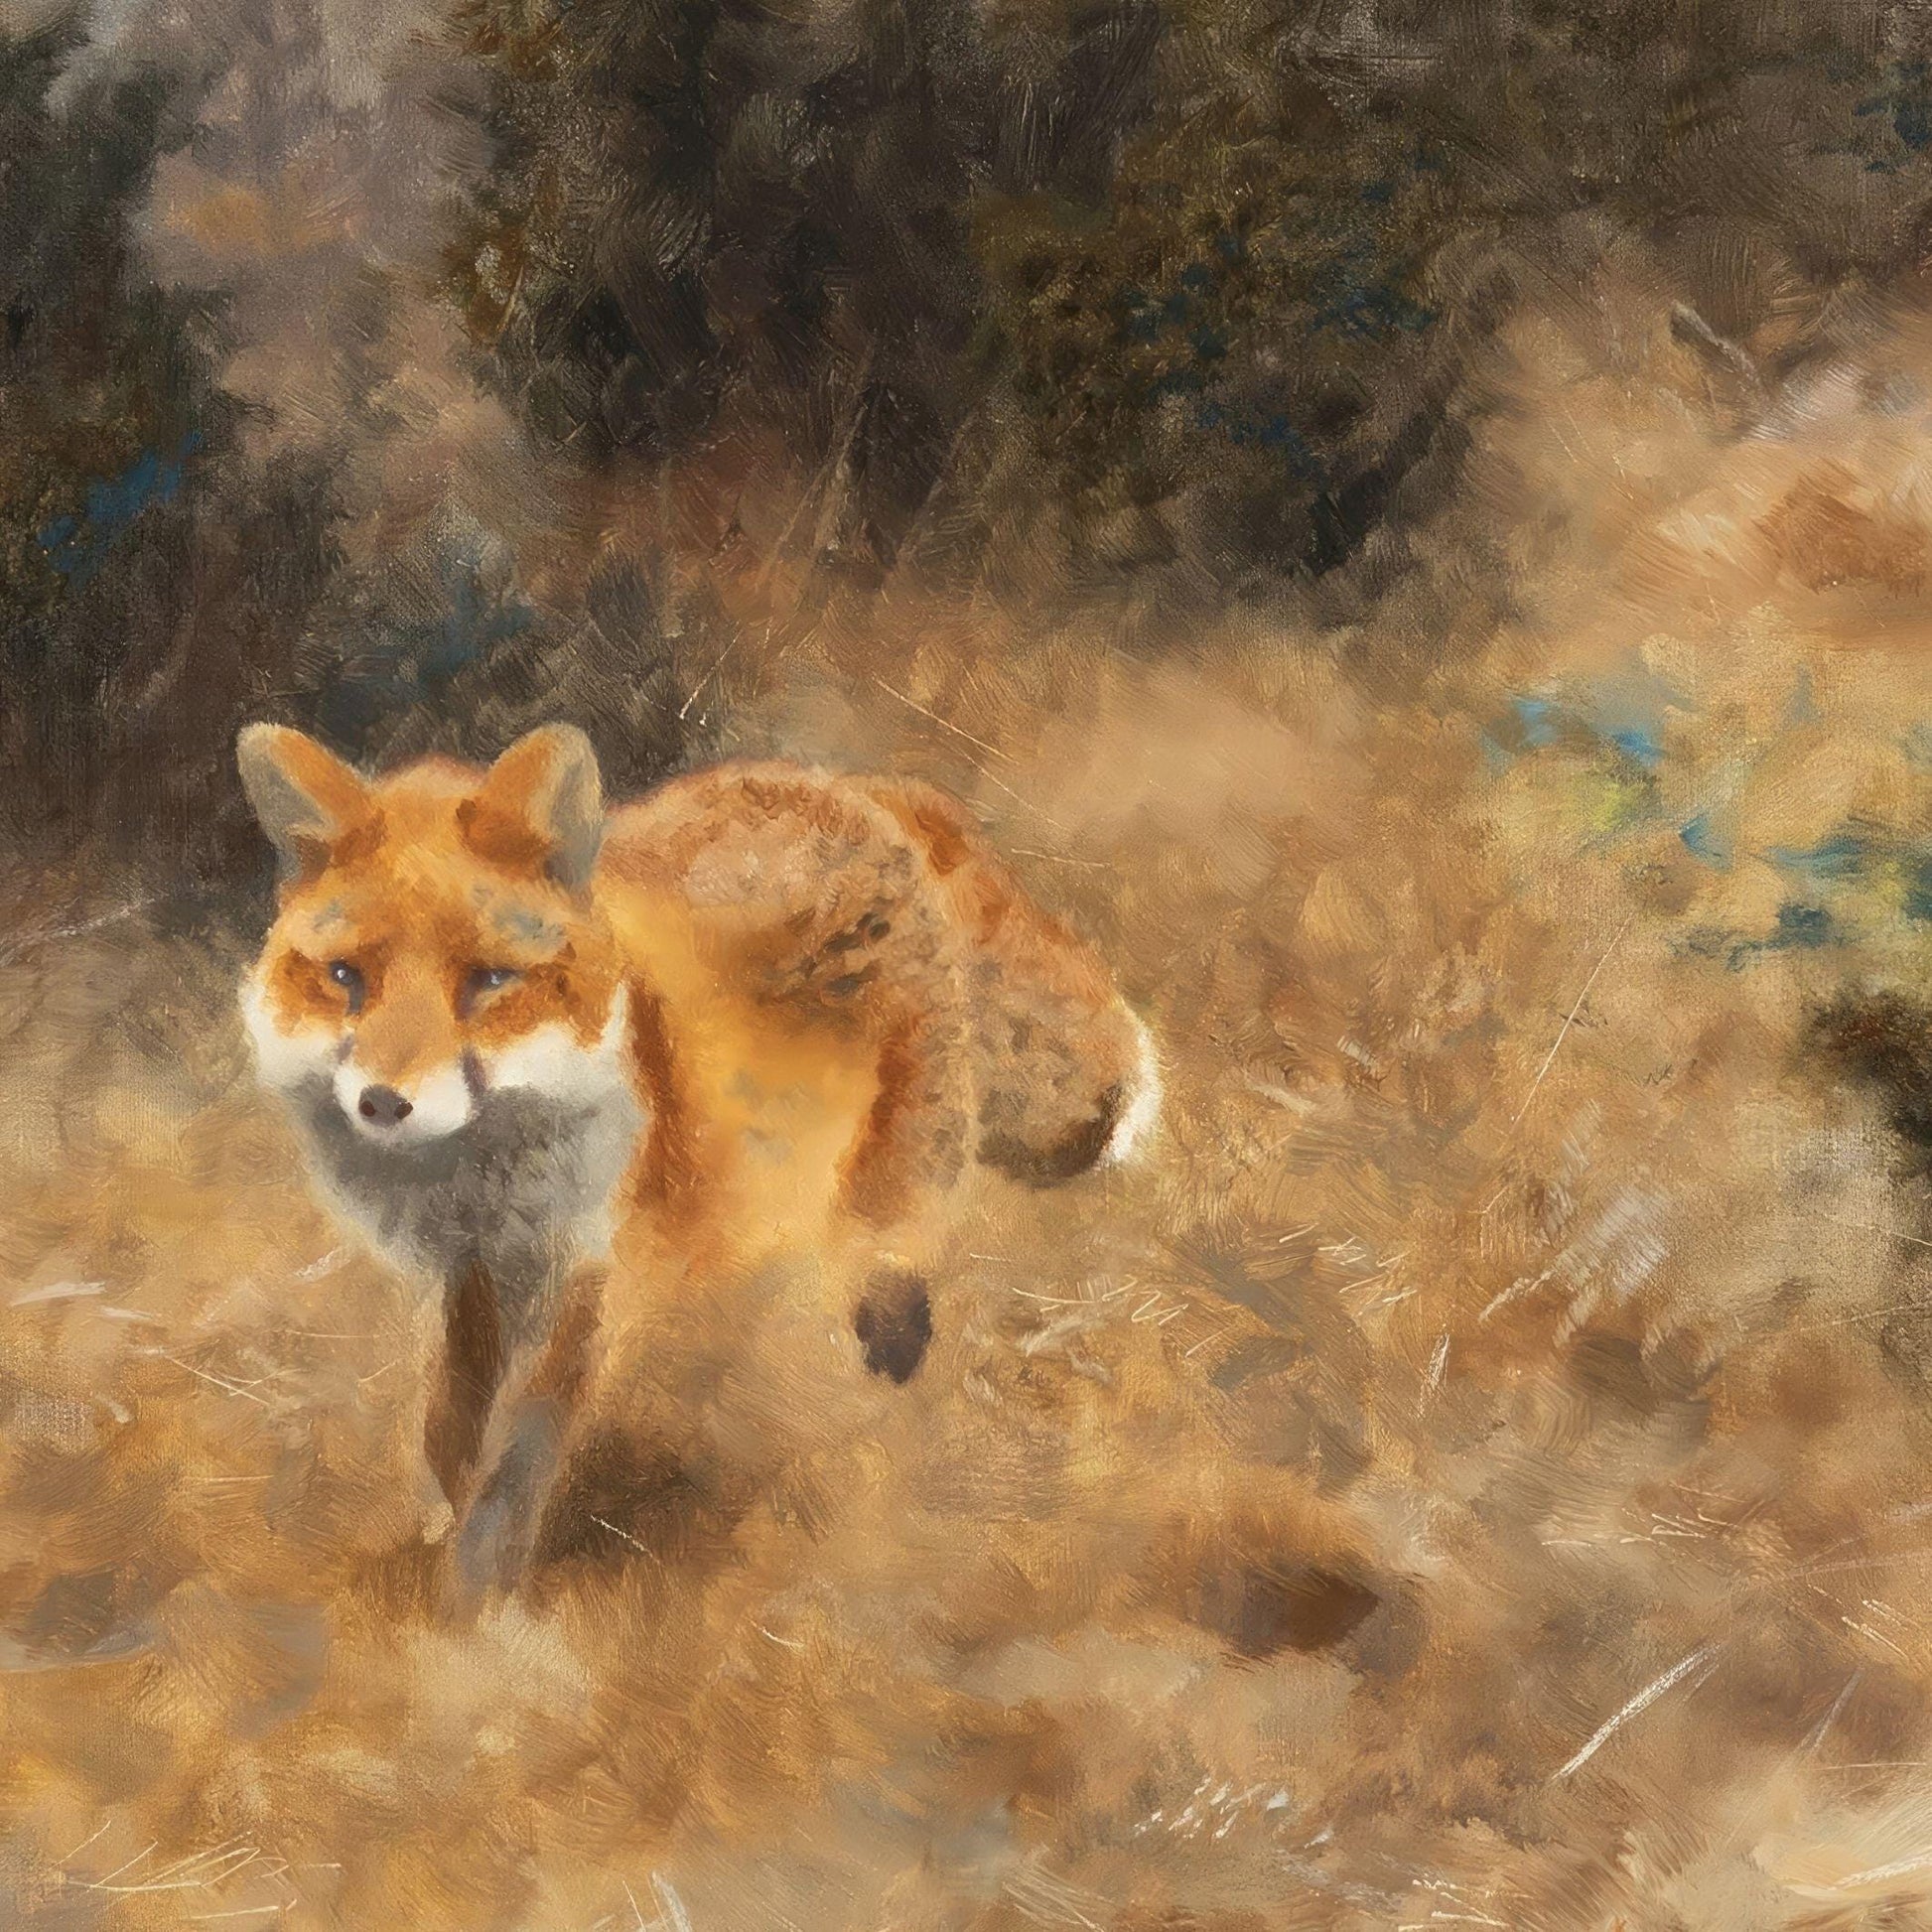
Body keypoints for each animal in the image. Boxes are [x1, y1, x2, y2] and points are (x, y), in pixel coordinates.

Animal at [236, 722, 1160, 1607]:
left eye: (490, 981)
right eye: (346, 977)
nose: (383, 1103)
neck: (481, 1179)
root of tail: (847, 784)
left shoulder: (590, 1267)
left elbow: (517, 1458)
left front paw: (476, 1601)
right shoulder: (475, 1269)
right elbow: (450, 1427)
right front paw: (441, 1536)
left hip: (888, 1167)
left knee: (890, 1270)